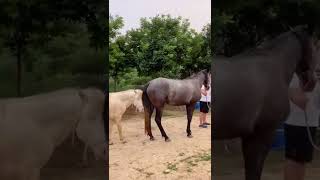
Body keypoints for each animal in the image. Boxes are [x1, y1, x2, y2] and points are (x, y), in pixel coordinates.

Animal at [212, 25, 318, 180]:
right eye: (314, 46)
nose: (311, 82)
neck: (275, 66)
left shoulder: (249, 136)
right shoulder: (263, 134)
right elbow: (254, 172)